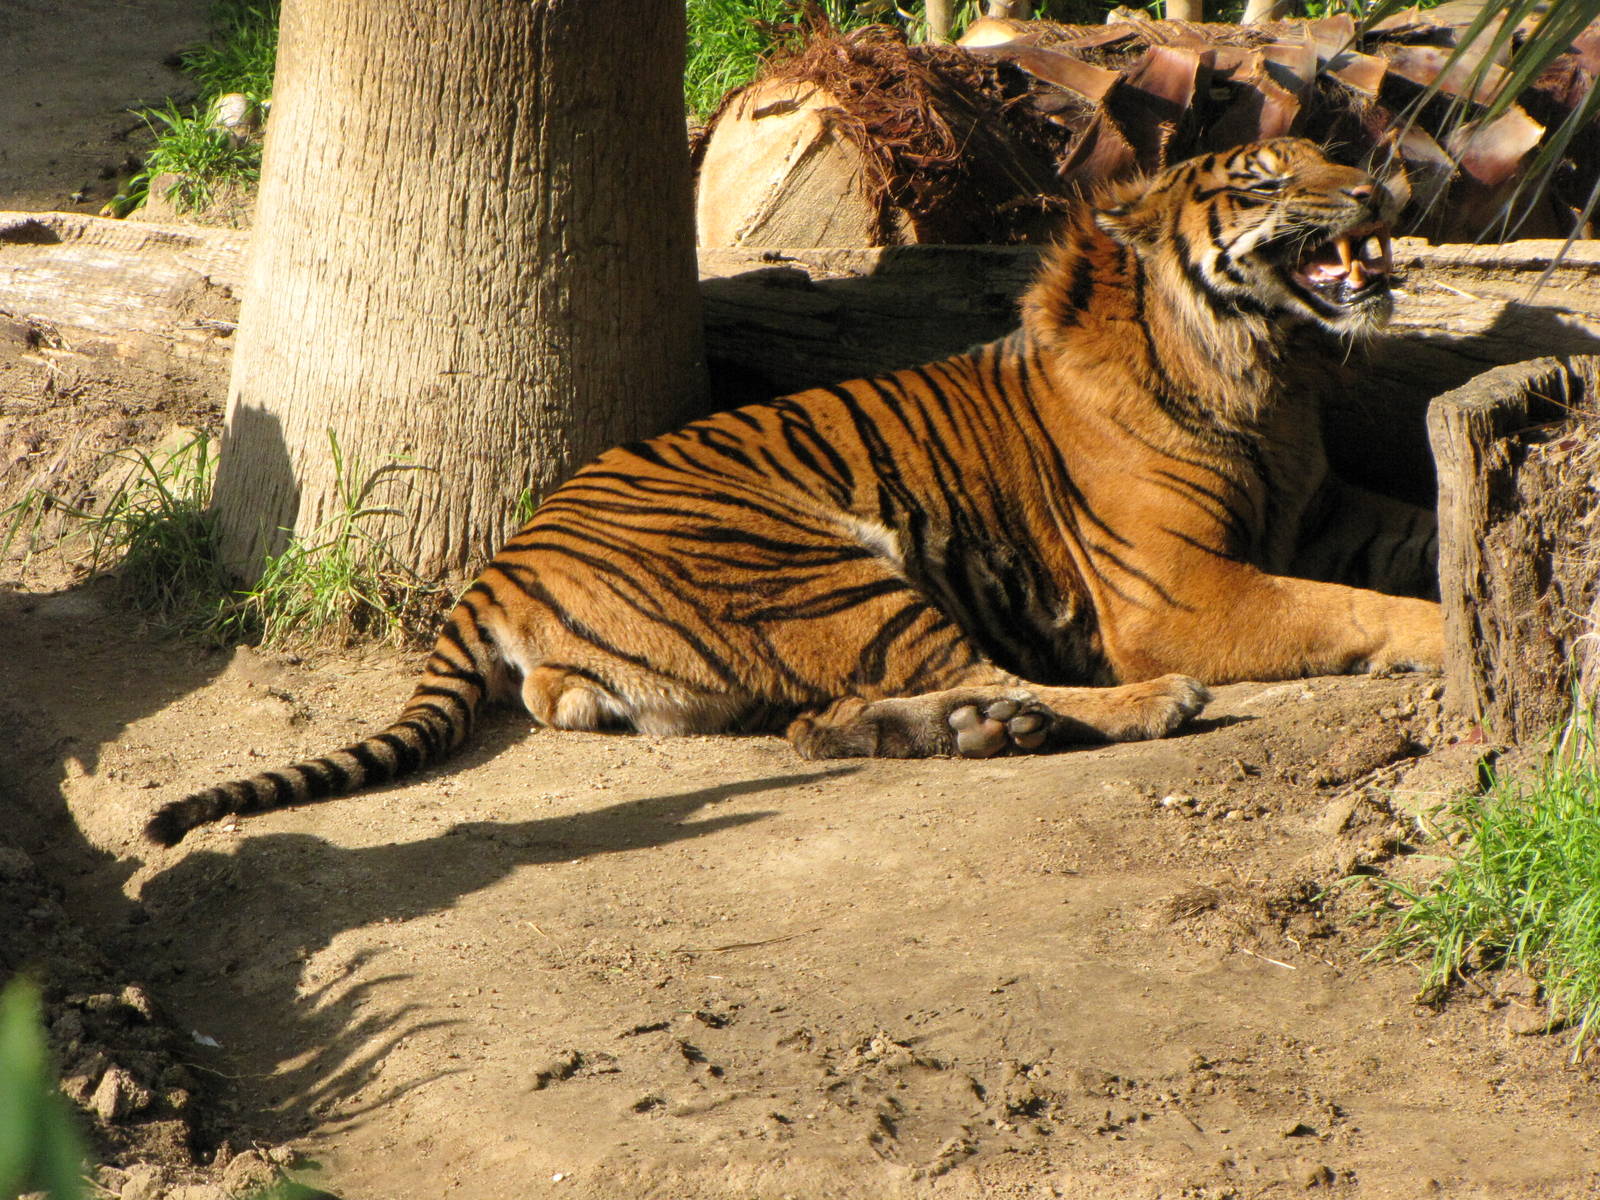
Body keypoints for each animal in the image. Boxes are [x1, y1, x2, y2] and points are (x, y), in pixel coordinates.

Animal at [144, 137, 1443, 847]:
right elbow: (1349, 611)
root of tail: (501, 563)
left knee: (827, 724)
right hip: (827, 570)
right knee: (944, 692)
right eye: (1267, 178)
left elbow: (1418, 538)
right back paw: (1098, 714)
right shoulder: (1176, 592)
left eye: (1333, 154)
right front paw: (1432, 640)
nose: (1379, 186)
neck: (1268, 375)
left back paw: (982, 731)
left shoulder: (1328, 511)